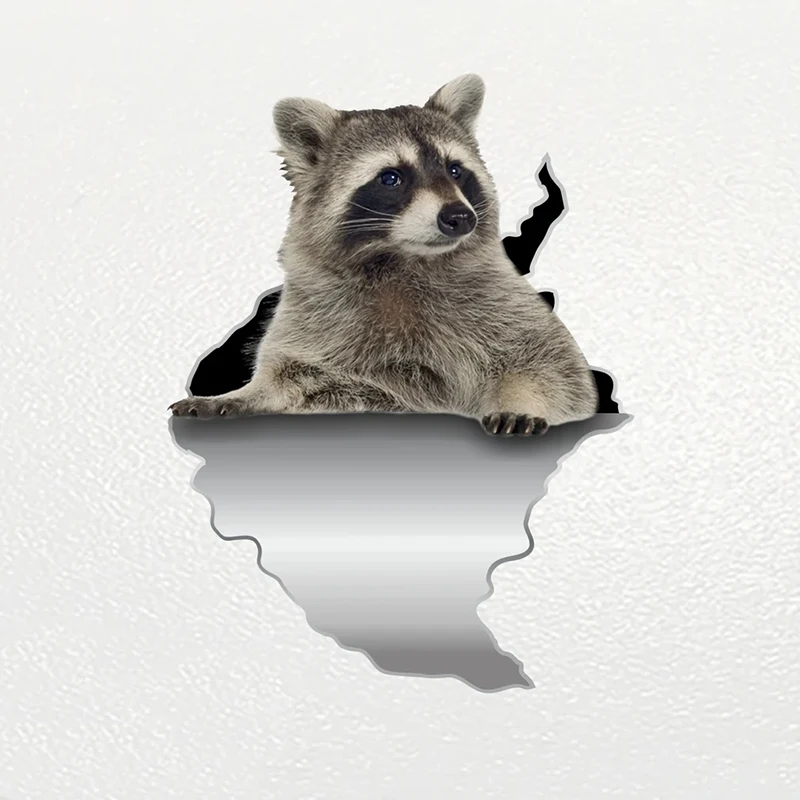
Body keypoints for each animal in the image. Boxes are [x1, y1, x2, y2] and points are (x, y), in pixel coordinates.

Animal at [170, 74, 599, 436]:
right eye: (391, 178)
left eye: (455, 170)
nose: (460, 217)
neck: (401, 260)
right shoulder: (314, 315)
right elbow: (288, 375)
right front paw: (242, 393)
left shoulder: (503, 302)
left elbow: (556, 368)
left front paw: (522, 399)